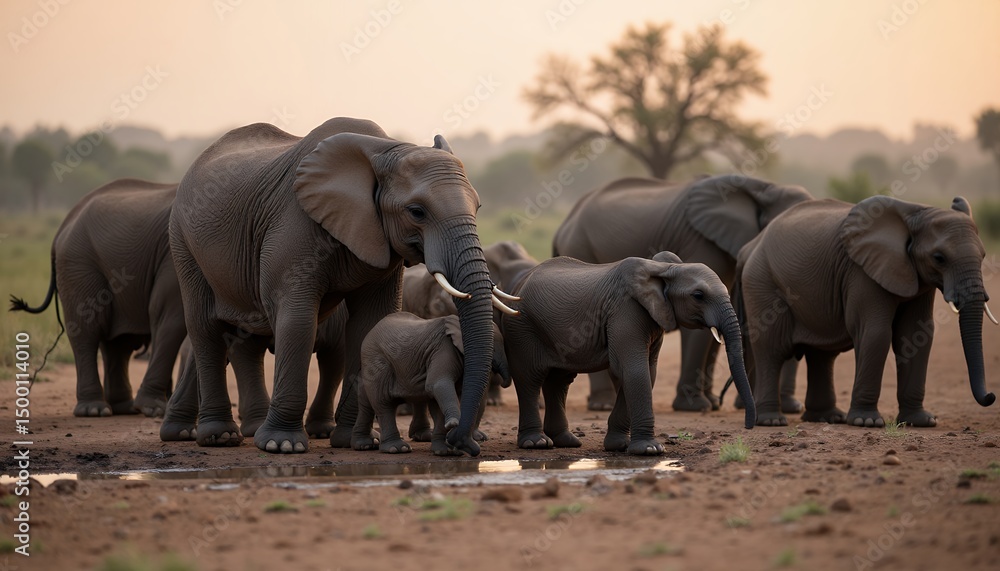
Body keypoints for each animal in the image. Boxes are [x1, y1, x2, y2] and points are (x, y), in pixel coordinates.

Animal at [10, 178, 185, 418]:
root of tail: (64, 225)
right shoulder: (174, 252)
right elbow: (171, 317)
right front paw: (156, 410)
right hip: (79, 265)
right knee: (88, 331)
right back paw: (94, 410)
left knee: (119, 343)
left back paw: (125, 408)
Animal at [352, 313, 510, 455]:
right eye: (493, 348)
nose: (505, 383)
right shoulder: (444, 349)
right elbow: (438, 385)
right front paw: (453, 425)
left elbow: (439, 400)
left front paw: (446, 451)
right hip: (376, 361)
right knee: (383, 403)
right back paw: (394, 448)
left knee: (370, 403)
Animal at [499, 251, 756, 455]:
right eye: (698, 296)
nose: (748, 426)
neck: (664, 269)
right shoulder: (625, 311)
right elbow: (635, 370)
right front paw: (650, 450)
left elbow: (645, 372)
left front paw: (619, 446)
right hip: (521, 325)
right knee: (530, 378)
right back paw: (537, 443)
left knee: (559, 382)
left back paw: (566, 442)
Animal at [552, 175, 811, 413]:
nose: (794, 407)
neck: (763, 186)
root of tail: (563, 225)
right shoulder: (702, 241)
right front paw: (696, 406)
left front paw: (712, 404)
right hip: (581, 250)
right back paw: (602, 404)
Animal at [735, 195, 997, 428]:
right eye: (939, 258)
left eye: (983, 255)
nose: (991, 396)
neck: (917, 211)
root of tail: (749, 247)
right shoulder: (862, 273)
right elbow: (875, 333)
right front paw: (866, 422)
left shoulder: (917, 278)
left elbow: (917, 335)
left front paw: (922, 422)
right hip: (762, 282)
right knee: (772, 348)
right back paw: (772, 421)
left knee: (820, 354)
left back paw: (827, 418)